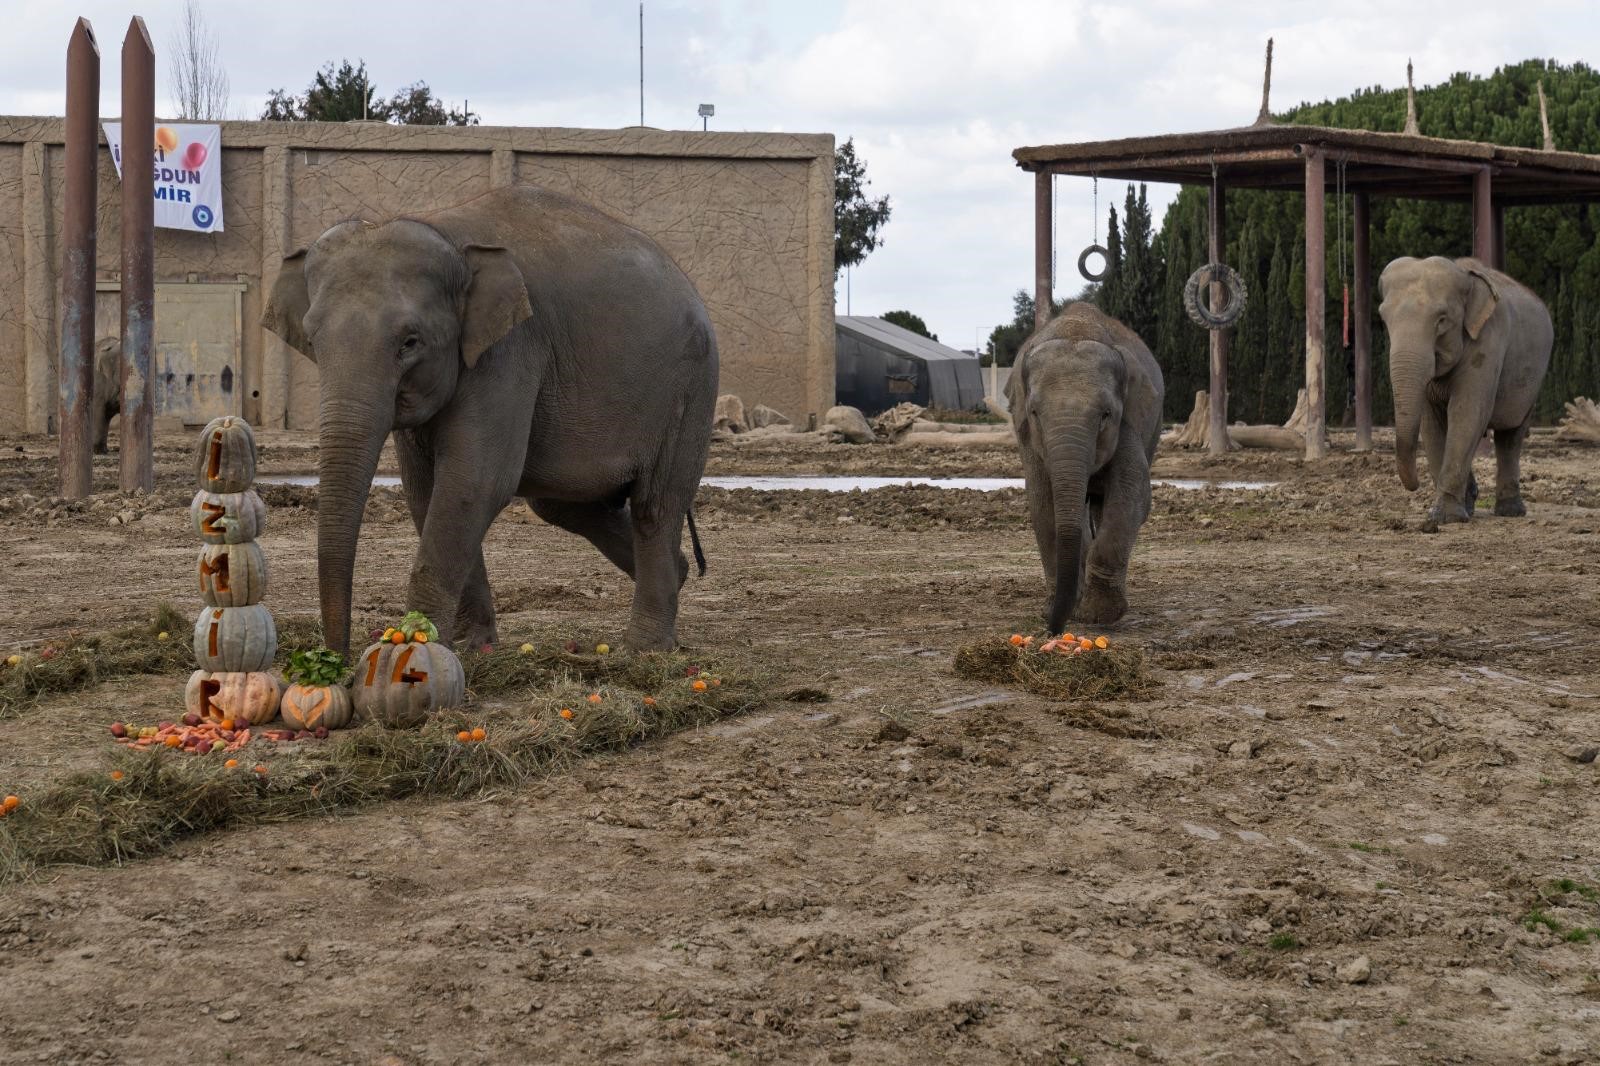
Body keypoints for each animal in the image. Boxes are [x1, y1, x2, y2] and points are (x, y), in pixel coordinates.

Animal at [260, 184, 720, 653]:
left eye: (410, 342)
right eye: (312, 339)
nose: (335, 657)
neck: (444, 231)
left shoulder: (511, 350)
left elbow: (473, 482)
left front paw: (418, 644)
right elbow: (426, 490)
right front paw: (469, 646)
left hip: (691, 388)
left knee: (655, 505)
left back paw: (645, 647)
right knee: (564, 505)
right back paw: (681, 574)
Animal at [998, 300, 1164, 630]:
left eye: (1105, 414)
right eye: (1034, 413)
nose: (1053, 628)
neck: (1076, 328)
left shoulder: (1129, 420)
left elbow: (1134, 494)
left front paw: (1098, 615)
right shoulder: (1028, 437)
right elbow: (1041, 501)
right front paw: (1061, 608)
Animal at [1376, 252, 1548, 528]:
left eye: (1442, 320)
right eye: (1384, 319)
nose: (1415, 486)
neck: (1465, 277)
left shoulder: (1488, 342)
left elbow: (1467, 412)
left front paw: (1445, 518)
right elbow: (1431, 424)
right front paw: (1456, 511)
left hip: (1533, 382)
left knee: (1511, 435)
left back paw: (1510, 511)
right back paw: (1473, 503)